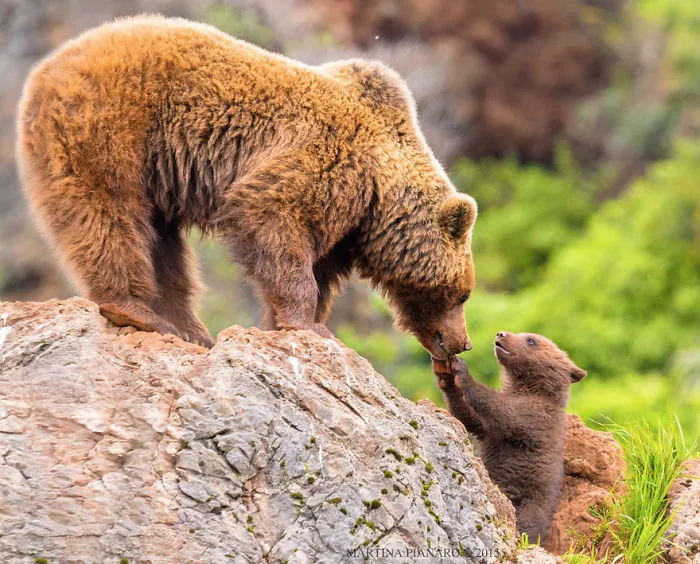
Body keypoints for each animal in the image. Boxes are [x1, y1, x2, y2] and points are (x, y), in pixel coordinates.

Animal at [16, 15, 477, 354]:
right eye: (463, 295)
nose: (464, 343)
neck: (378, 195)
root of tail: (44, 70)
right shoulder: (329, 164)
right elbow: (272, 216)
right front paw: (309, 325)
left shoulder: (346, 225)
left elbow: (318, 265)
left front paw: (285, 324)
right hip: (110, 125)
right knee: (109, 213)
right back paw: (135, 309)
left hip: (153, 171)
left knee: (163, 244)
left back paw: (188, 328)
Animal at [433, 331, 587, 543]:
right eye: (523, 334)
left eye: (531, 340)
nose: (501, 333)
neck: (529, 386)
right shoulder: (490, 432)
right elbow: (471, 419)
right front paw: (446, 376)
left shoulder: (535, 416)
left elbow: (500, 409)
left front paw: (463, 371)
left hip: (531, 502)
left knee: (526, 524)